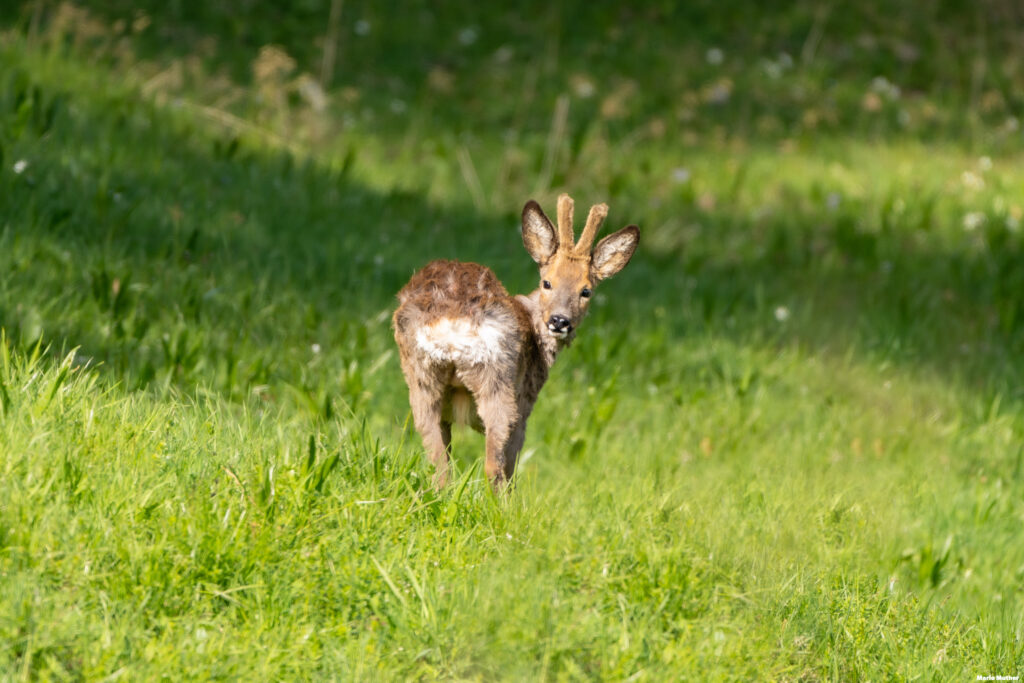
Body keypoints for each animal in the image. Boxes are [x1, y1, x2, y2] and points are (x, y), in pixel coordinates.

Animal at [393, 193, 638, 491]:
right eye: (547, 283)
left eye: (586, 291)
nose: (559, 321)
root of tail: (451, 323)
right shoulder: (527, 403)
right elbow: (510, 466)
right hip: (498, 381)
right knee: (493, 466)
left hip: (421, 378)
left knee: (439, 466)